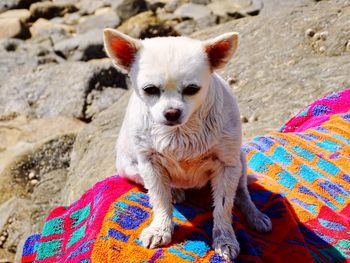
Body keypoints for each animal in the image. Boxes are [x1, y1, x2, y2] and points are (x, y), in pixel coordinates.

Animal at [102, 29, 272, 262]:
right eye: (150, 89)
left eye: (192, 89)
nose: (172, 112)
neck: (180, 133)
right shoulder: (149, 164)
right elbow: (159, 199)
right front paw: (160, 229)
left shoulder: (227, 166)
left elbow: (223, 206)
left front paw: (225, 240)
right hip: (128, 168)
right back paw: (176, 192)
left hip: (240, 162)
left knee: (241, 193)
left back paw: (255, 216)